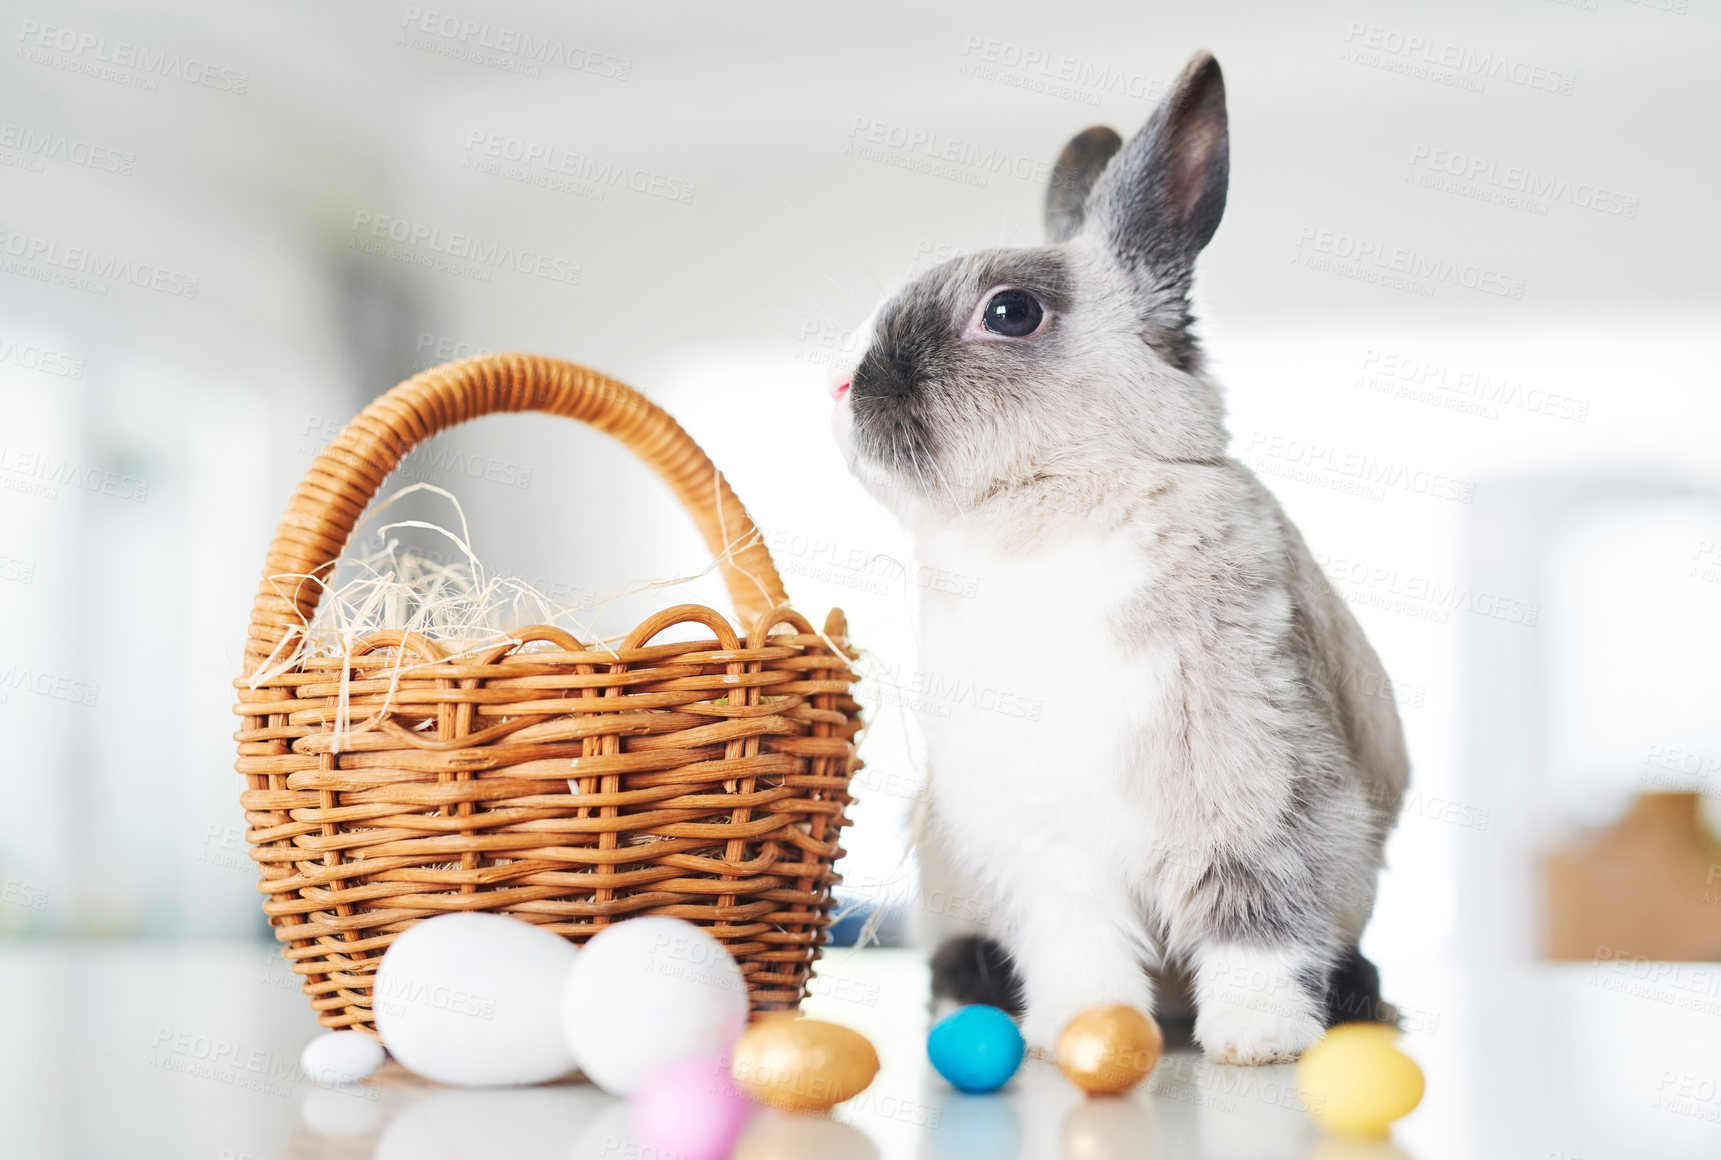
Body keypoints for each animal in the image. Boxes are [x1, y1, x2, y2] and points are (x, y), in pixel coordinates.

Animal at [832, 54, 1411, 1067]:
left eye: (1010, 312)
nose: (838, 385)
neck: (1060, 494)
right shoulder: (1047, 851)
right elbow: (1081, 946)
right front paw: (1079, 1029)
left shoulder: (1265, 799)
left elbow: (1257, 928)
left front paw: (1257, 1040)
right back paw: (971, 988)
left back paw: (1356, 997)